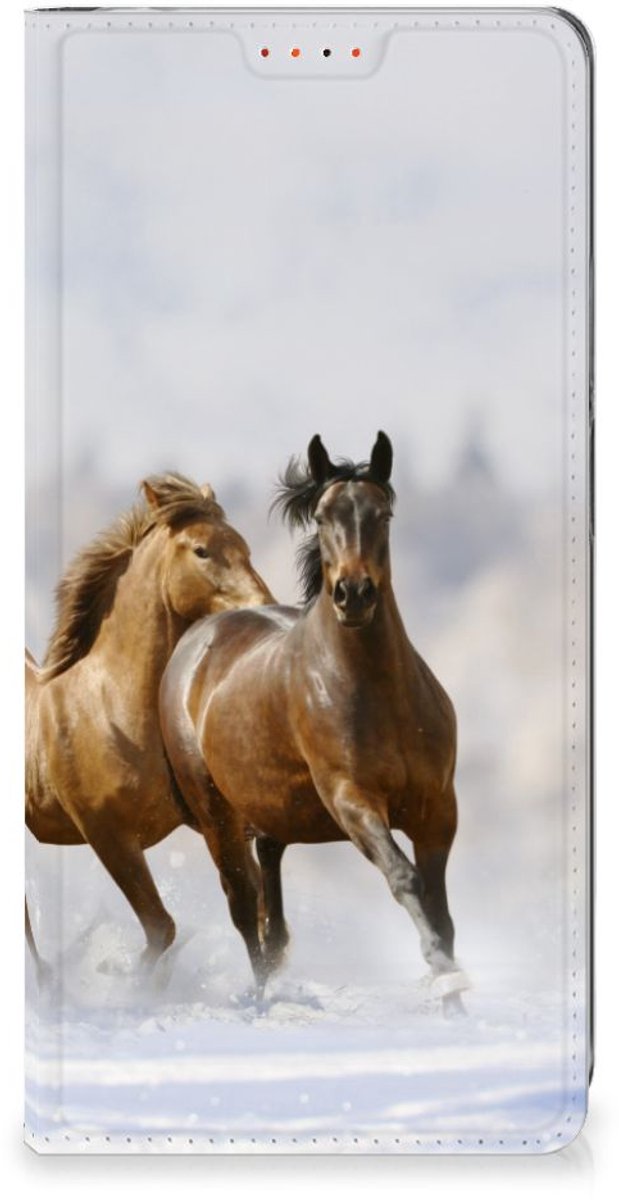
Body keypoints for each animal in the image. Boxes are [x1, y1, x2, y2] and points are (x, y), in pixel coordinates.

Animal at [26, 472, 273, 973]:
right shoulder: (109, 836)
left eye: (244, 546)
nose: (263, 605)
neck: (110, 708)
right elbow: (161, 928)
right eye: (201, 550)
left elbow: (249, 906)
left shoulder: (214, 821)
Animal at [160, 434, 469, 1014]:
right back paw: (262, 1000)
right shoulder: (352, 800)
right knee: (244, 906)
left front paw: (455, 1001)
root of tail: (197, 639)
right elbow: (406, 879)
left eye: (383, 514)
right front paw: (444, 976)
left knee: (270, 904)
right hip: (217, 817)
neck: (379, 694)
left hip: (272, 812)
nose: (354, 594)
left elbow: (441, 909)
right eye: (323, 517)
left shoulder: (437, 808)